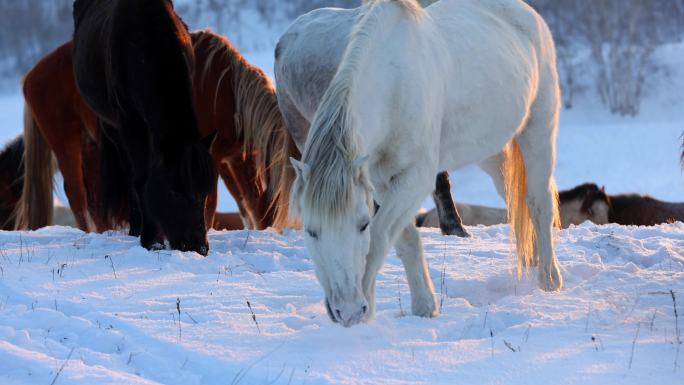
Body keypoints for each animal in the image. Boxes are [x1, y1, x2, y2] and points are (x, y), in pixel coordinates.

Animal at [73, 0, 216, 255]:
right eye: (174, 190)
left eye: (205, 192)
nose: (198, 247)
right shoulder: (130, 123)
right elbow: (140, 179)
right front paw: (152, 240)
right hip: (113, 129)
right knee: (130, 175)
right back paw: (136, 228)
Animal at [288, 0, 560, 328]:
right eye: (311, 231)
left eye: (361, 224)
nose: (348, 311)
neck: (393, 86)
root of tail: (527, 14)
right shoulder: (382, 182)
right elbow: (404, 239)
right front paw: (424, 306)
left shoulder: (415, 178)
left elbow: (379, 238)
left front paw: (368, 305)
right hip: (491, 151)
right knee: (513, 197)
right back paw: (530, 261)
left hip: (538, 128)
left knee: (538, 201)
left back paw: (548, 279)